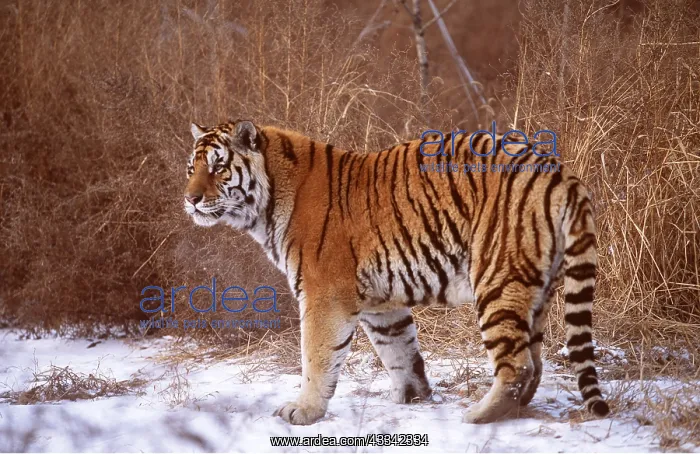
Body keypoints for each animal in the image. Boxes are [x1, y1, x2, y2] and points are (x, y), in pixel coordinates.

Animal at [183, 119, 611, 425]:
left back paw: (477, 415)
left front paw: (303, 411)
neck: (269, 202)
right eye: (191, 168)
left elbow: (316, 358)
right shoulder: (380, 301)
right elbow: (399, 350)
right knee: (534, 363)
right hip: (537, 288)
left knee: (518, 366)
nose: (190, 199)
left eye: (219, 167)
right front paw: (414, 396)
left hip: (497, 279)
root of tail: (559, 171)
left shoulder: (323, 295)